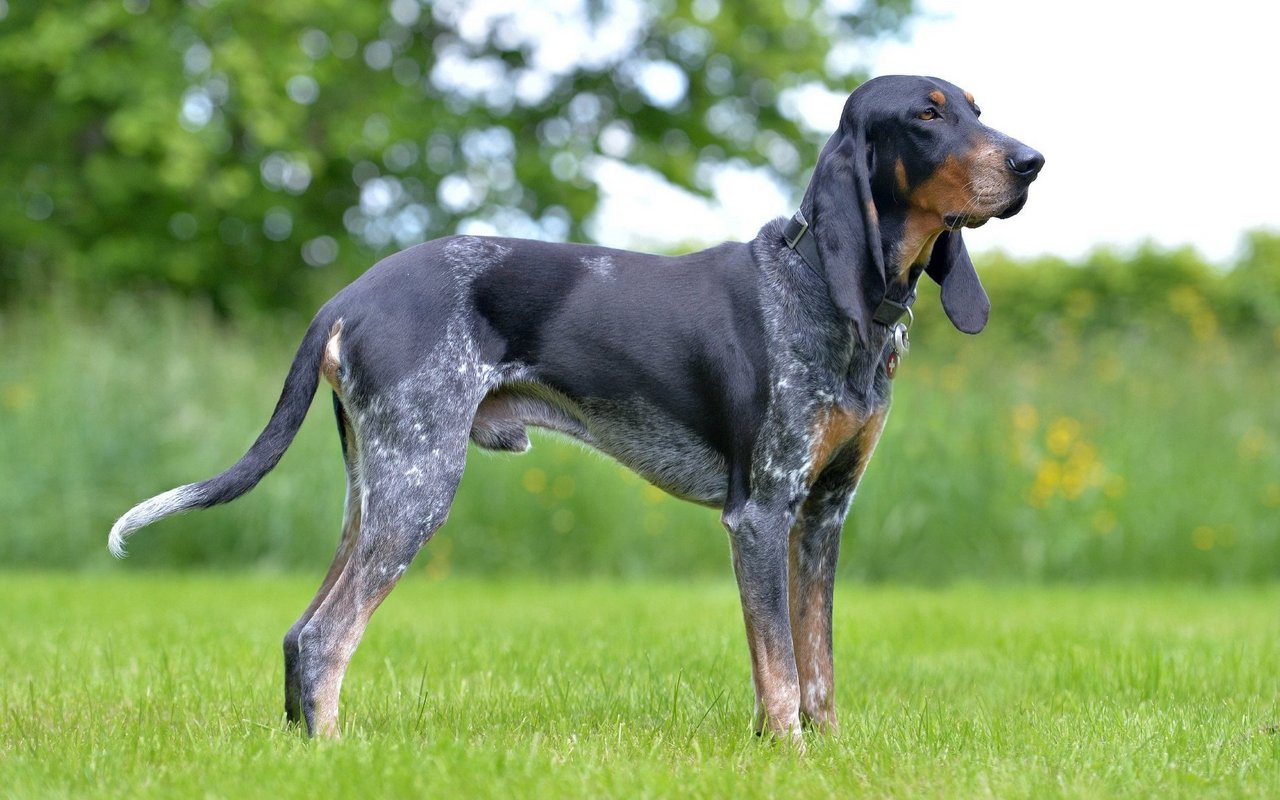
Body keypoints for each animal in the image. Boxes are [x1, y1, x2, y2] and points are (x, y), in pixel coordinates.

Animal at [110, 76, 1039, 742]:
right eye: (928, 115)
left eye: (978, 110)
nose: (1032, 161)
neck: (824, 289)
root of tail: (348, 295)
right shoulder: (762, 513)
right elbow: (778, 667)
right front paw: (788, 752)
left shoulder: (823, 515)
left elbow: (819, 667)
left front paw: (827, 753)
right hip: (418, 486)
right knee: (324, 637)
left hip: (374, 492)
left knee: (299, 633)